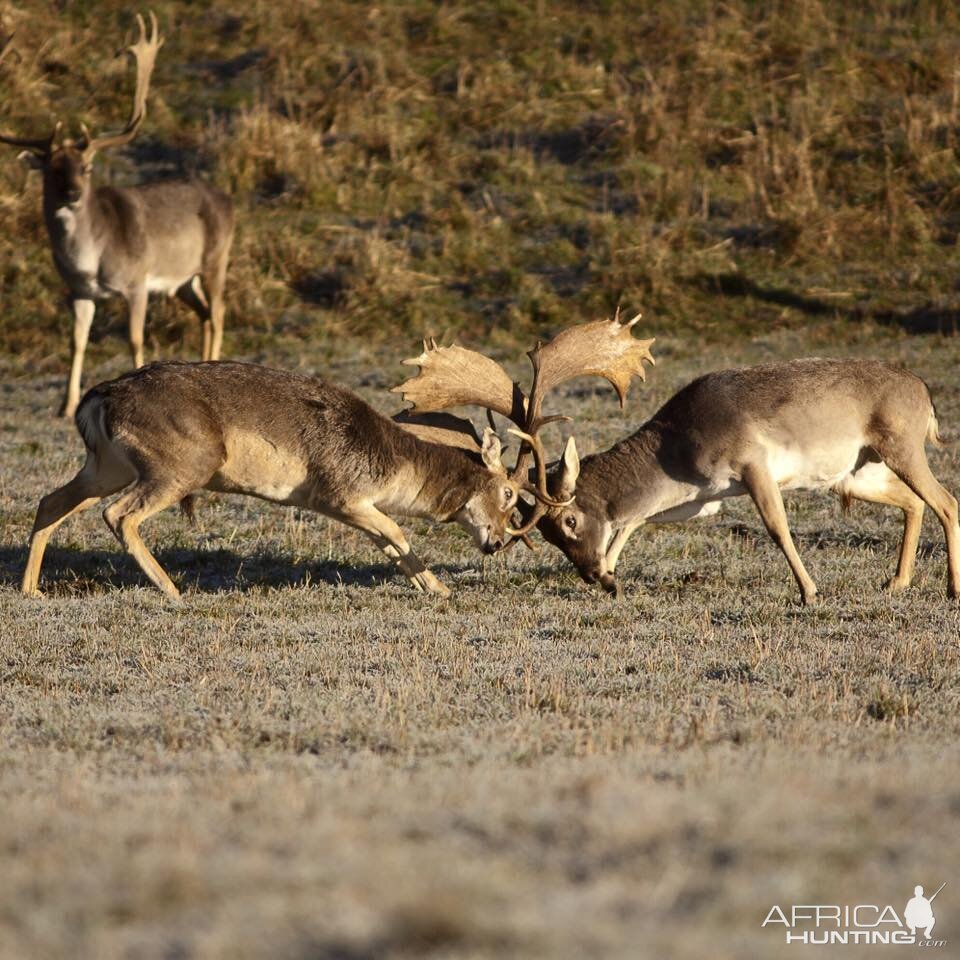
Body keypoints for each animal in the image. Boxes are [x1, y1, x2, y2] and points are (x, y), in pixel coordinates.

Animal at [0, 11, 235, 416]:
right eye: (51, 169)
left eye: (87, 167)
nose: (72, 193)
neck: (90, 258)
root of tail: (229, 200)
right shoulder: (78, 290)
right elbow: (76, 341)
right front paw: (65, 406)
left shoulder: (137, 280)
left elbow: (135, 338)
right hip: (183, 281)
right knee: (205, 313)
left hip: (215, 259)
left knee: (219, 313)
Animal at [20, 358, 568, 600]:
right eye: (508, 492)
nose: (495, 543)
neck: (391, 464)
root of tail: (97, 399)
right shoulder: (340, 494)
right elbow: (397, 532)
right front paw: (441, 590)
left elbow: (389, 541)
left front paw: (432, 589)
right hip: (182, 465)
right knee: (119, 515)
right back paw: (173, 591)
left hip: (107, 465)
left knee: (50, 502)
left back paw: (31, 591)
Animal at [528, 356, 956, 604]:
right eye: (545, 535)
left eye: (570, 520)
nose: (588, 573)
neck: (677, 445)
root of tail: (924, 391)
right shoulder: (701, 497)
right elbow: (637, 518)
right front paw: (613, 579)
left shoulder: (753, 464)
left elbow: (777, 527)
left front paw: (809, 592)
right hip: (856, 474)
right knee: (915, 502)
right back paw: (896, 582)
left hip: (902, 447)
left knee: (946, 501)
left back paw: (952, 589)